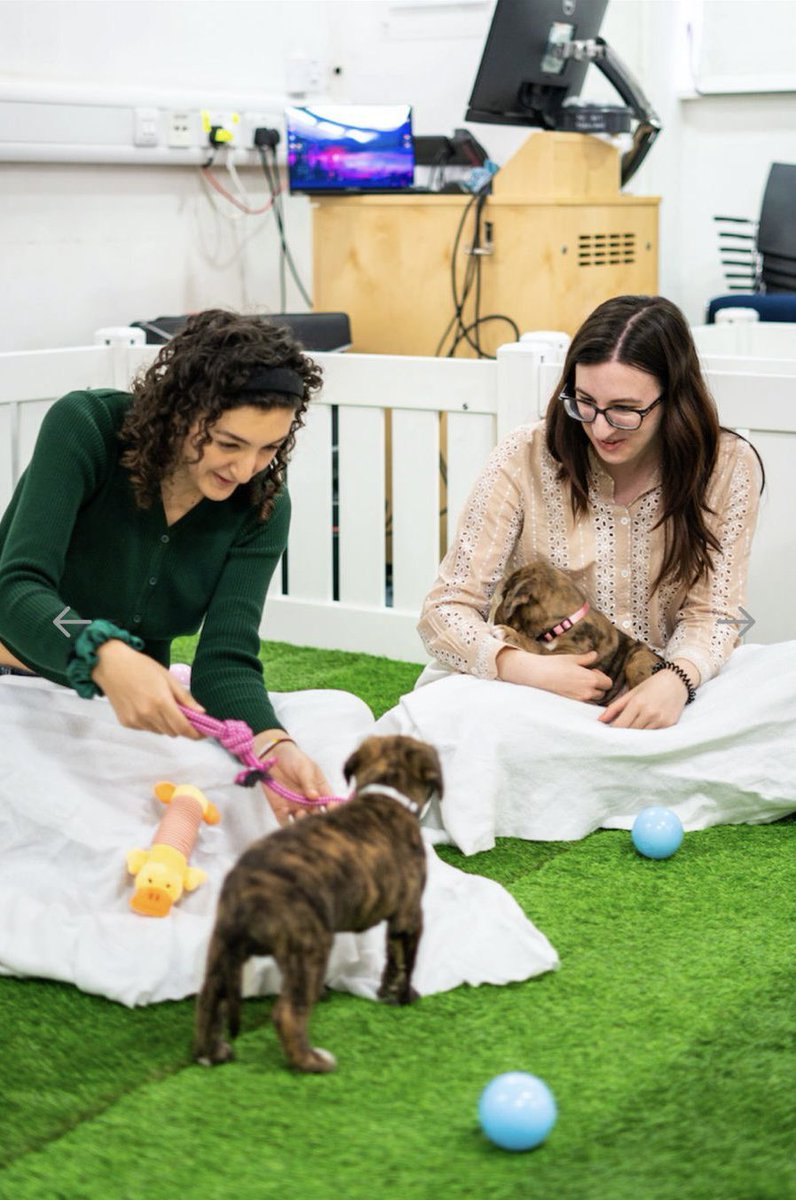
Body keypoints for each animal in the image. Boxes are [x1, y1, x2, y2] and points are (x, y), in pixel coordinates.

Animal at [193, 734, 441, 1075]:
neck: (386, 792)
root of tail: (247, 893)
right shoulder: (409, 915)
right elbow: (404, 962)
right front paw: (404, 996)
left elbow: (392, 960)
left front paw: (385, 992)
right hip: (309, 949)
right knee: (287, 1012)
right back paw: (312, 1061)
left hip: (221, 947)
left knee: (209, 1000)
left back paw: (211, 1052)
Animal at [494, 559, 662, 700]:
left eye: (505, 594)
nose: (494, 617)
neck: (567, 621)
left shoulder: (566, 655)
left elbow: (537, 647)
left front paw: (508, 633)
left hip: (639, 660)